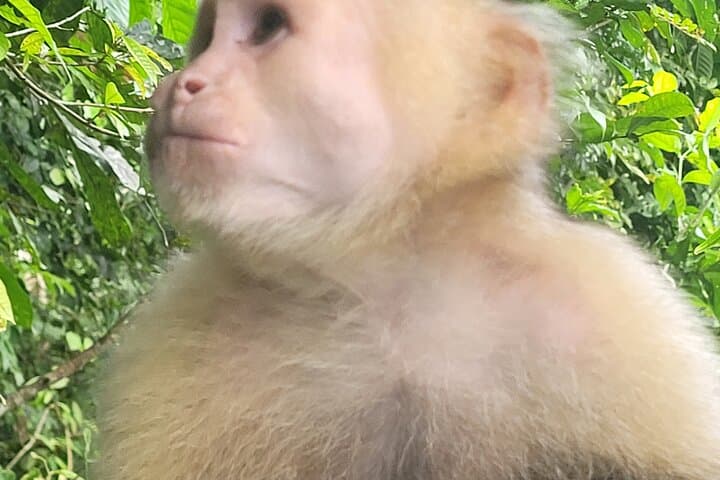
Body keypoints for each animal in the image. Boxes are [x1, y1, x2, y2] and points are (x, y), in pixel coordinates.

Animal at [96, 0, 720, 478]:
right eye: (205, 40)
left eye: (268, 26)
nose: (178, 85)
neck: (392, 285)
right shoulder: (180, 326)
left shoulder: (611, 309)